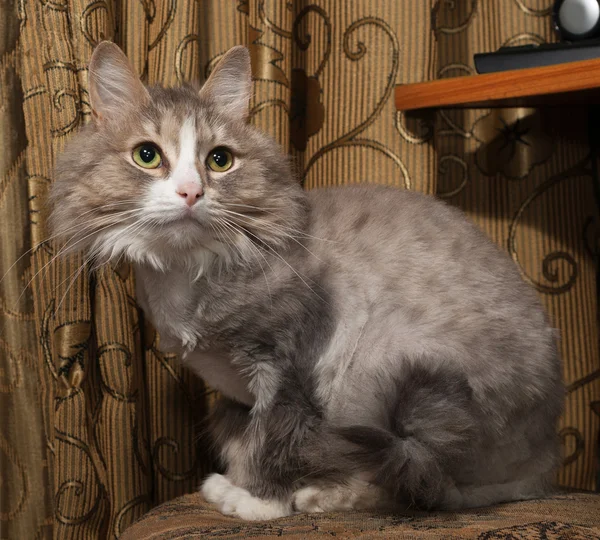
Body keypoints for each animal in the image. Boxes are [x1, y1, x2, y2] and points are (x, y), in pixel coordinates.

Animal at [50, 41, 564, 520]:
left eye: (219, 160)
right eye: (147, 155)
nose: (191, 192)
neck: (189, 273)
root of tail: (545, 463)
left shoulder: (291, 365)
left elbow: (273, 442)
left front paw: (253, 501)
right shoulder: (233, 396)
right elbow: (241, 441)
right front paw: (237, 482)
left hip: (386, 363)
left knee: (424, 485)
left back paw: (321, 496)